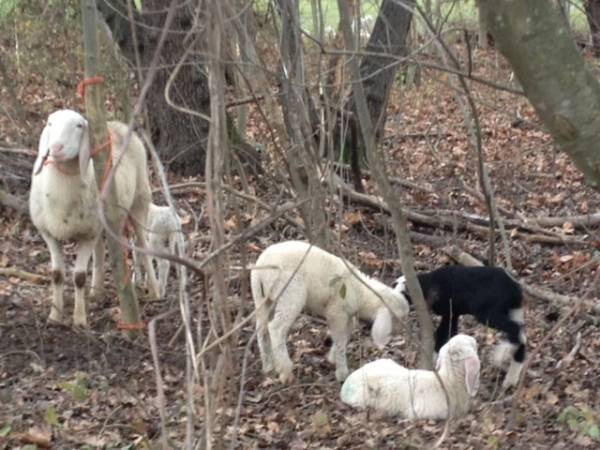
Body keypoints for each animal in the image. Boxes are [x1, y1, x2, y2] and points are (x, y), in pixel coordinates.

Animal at [29, 109, 161, 326]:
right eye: (50, 124)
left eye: (79, 126)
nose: (56, 147)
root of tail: (117, 124)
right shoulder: (49, 233)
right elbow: (57, 275)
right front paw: (54, 316)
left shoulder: (87, 234)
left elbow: (79, 277)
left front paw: (79, 320)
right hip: (99, 222)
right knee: (99, 250)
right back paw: (96, 292)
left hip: (140, 200)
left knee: (144, 245)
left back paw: (155, 290)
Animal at [247, 241, 408, 384]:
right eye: (395, 318)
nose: (401, 332)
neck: (359, 291)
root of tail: (261, 267)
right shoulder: (336, 311)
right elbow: (340, 338)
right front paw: (342, 373)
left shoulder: (346, 314)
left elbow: (346, 334)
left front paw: (332, 357)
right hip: (289, 293)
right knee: (276, 328)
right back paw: (285, 371)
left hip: (261, 296)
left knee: (261, 329)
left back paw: (268, 366)